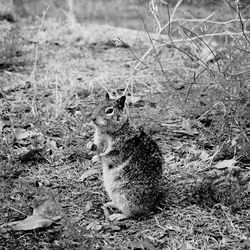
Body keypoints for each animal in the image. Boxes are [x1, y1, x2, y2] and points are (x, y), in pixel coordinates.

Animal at [91, 93, 163, 221]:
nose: (92, 118)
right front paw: (93, 155)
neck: (107, 132)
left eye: (109, 111)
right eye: (98, 104)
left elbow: (109, 156)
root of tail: (151, 206)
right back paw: (110, 204)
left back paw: (118, 216)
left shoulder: (121, 148)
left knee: (132, 214)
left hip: (127, 196)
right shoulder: (99, 141)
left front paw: (100, 158)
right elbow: (98, 148)